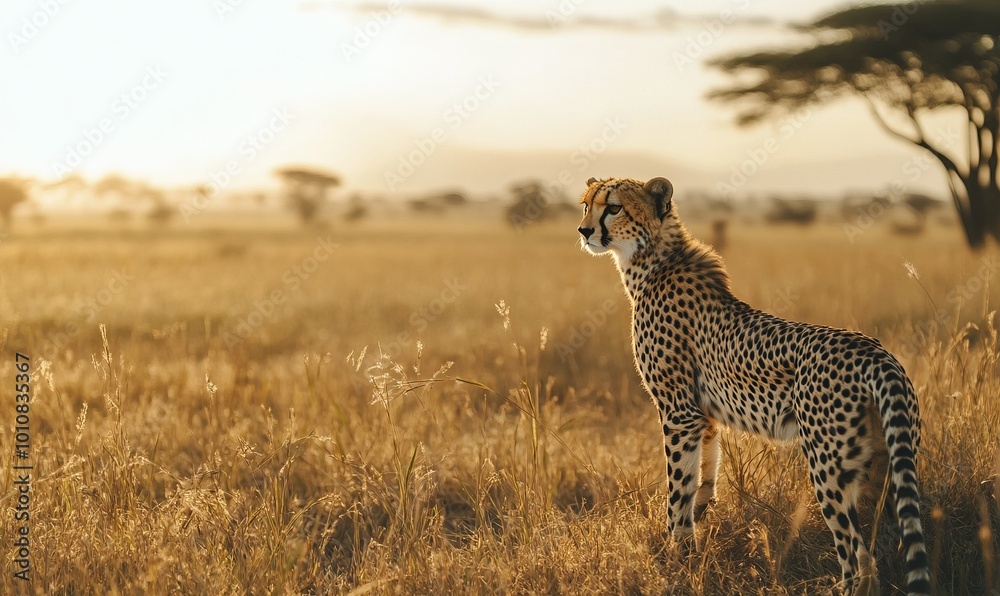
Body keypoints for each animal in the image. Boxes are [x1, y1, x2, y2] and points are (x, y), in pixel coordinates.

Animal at [576, 176, 930, 595]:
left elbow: (677, 487)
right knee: (879, 546)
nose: (584, 231)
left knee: (855, 554)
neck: (652, 261)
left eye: (614, 207)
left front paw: (675, 553)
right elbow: (704, 470)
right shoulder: (701, 415)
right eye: (587, 205)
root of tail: (876, 353)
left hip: (830, 468)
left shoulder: (678, 412)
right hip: (883, 466)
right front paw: (696, 526)